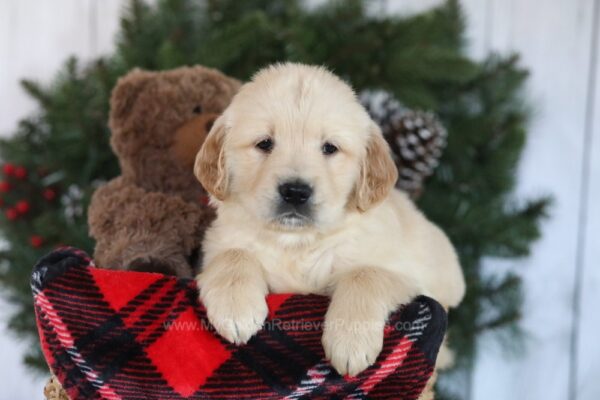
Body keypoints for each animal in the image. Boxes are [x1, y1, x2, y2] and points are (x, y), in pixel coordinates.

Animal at [192, 63, 464, 378]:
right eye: (264, 143)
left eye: (330, 148)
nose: (295, 192)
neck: (297, 242)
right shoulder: (217, 243)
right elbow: (233, 254)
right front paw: (235, 309)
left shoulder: (410, 275)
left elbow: (365, 274)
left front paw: (351, 342)